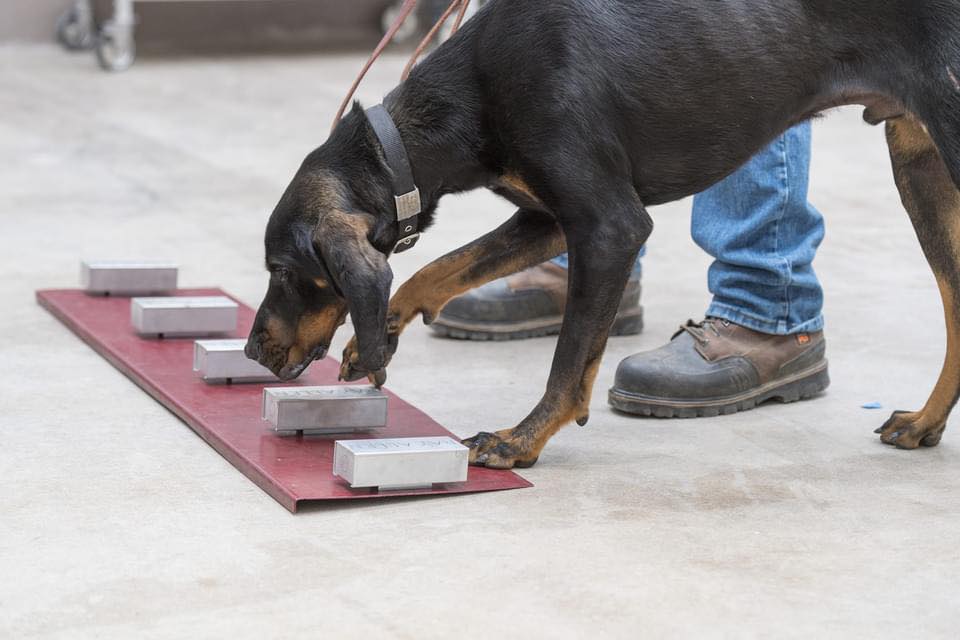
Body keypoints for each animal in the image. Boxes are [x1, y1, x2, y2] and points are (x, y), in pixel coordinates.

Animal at [244, 1, 960, 470]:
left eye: (282, 272)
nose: (252, 351)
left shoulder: (610, 226)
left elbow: (569, 361)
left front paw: (520, 440)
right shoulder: (548, 219)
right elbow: (440, 267)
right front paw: (381, 333)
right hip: (920, 166)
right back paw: (926, 422)